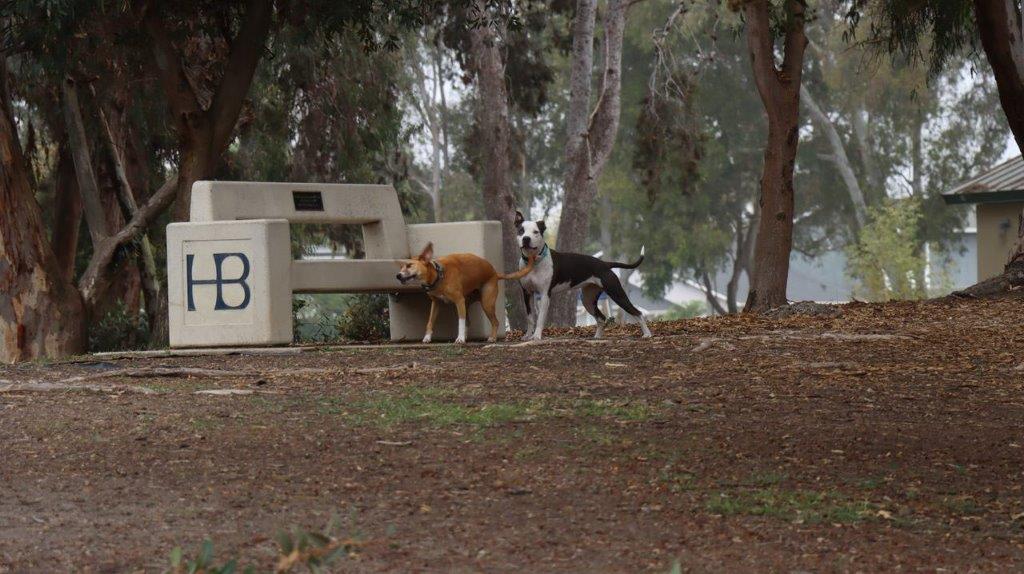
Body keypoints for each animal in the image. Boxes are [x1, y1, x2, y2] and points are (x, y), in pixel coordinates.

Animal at [393, 242, 536, 343]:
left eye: (409, 265)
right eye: (401, 266)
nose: (398, 276)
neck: (439, 275)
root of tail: (495, 273)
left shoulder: (459, 301)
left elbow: (460, 321)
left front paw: (460, 339)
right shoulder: (436, 303)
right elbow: (430, 321)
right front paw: (427, 337)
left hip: (486, 303)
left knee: (495, 322)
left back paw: (492, 338)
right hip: (468, 304)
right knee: (469, 322)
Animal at [516, 211, 651, 339]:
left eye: (536, 232)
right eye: (521, 231)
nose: (526, 238)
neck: (533, 262)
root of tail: (605, 264)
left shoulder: (544, 295)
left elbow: (540, 318)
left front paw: (536, 336)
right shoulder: (527, 293)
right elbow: (530, 318)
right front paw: (527, 336)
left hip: (617, 293)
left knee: (637, 312)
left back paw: (647, 334)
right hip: (588, 299)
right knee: (601, 318)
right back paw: (597, 337)